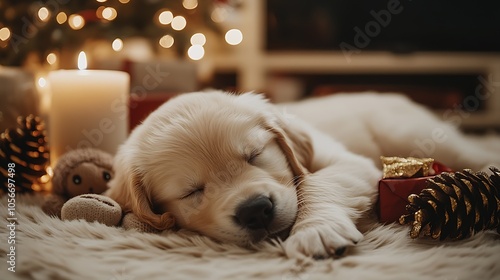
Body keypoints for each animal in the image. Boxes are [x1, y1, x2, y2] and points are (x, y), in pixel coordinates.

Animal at [106, 90, 500, 258]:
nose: (255, 210)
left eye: (255, 156)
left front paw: (316, 231)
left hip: (415, 134)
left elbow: (315, 184)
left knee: (478, 151)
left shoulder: (345, 161)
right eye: (191, 192)